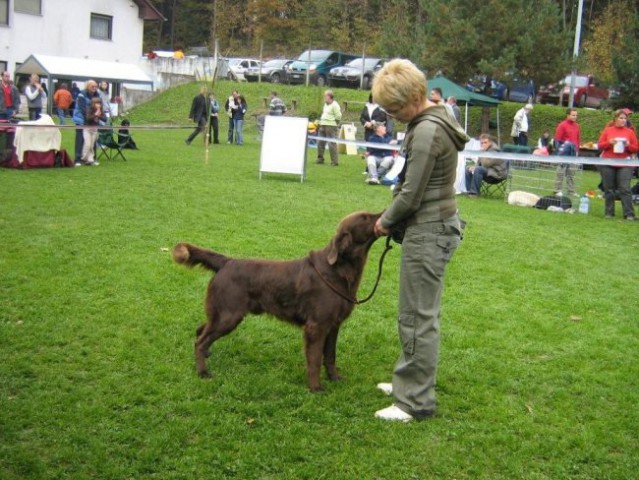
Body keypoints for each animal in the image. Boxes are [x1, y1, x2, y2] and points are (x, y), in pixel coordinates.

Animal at [172, 212, 382, 392]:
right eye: (365, 217)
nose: (383, 213)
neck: (338, 271)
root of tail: (227, 262)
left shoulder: (333, 325)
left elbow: (330, 356)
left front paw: (335, 378)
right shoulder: (316, 326)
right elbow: (314, 359)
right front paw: (315, 388)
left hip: (222, 313)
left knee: (201, 330)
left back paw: (207, 354)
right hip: (228, 315)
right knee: (200, 341)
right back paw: (203, 372)